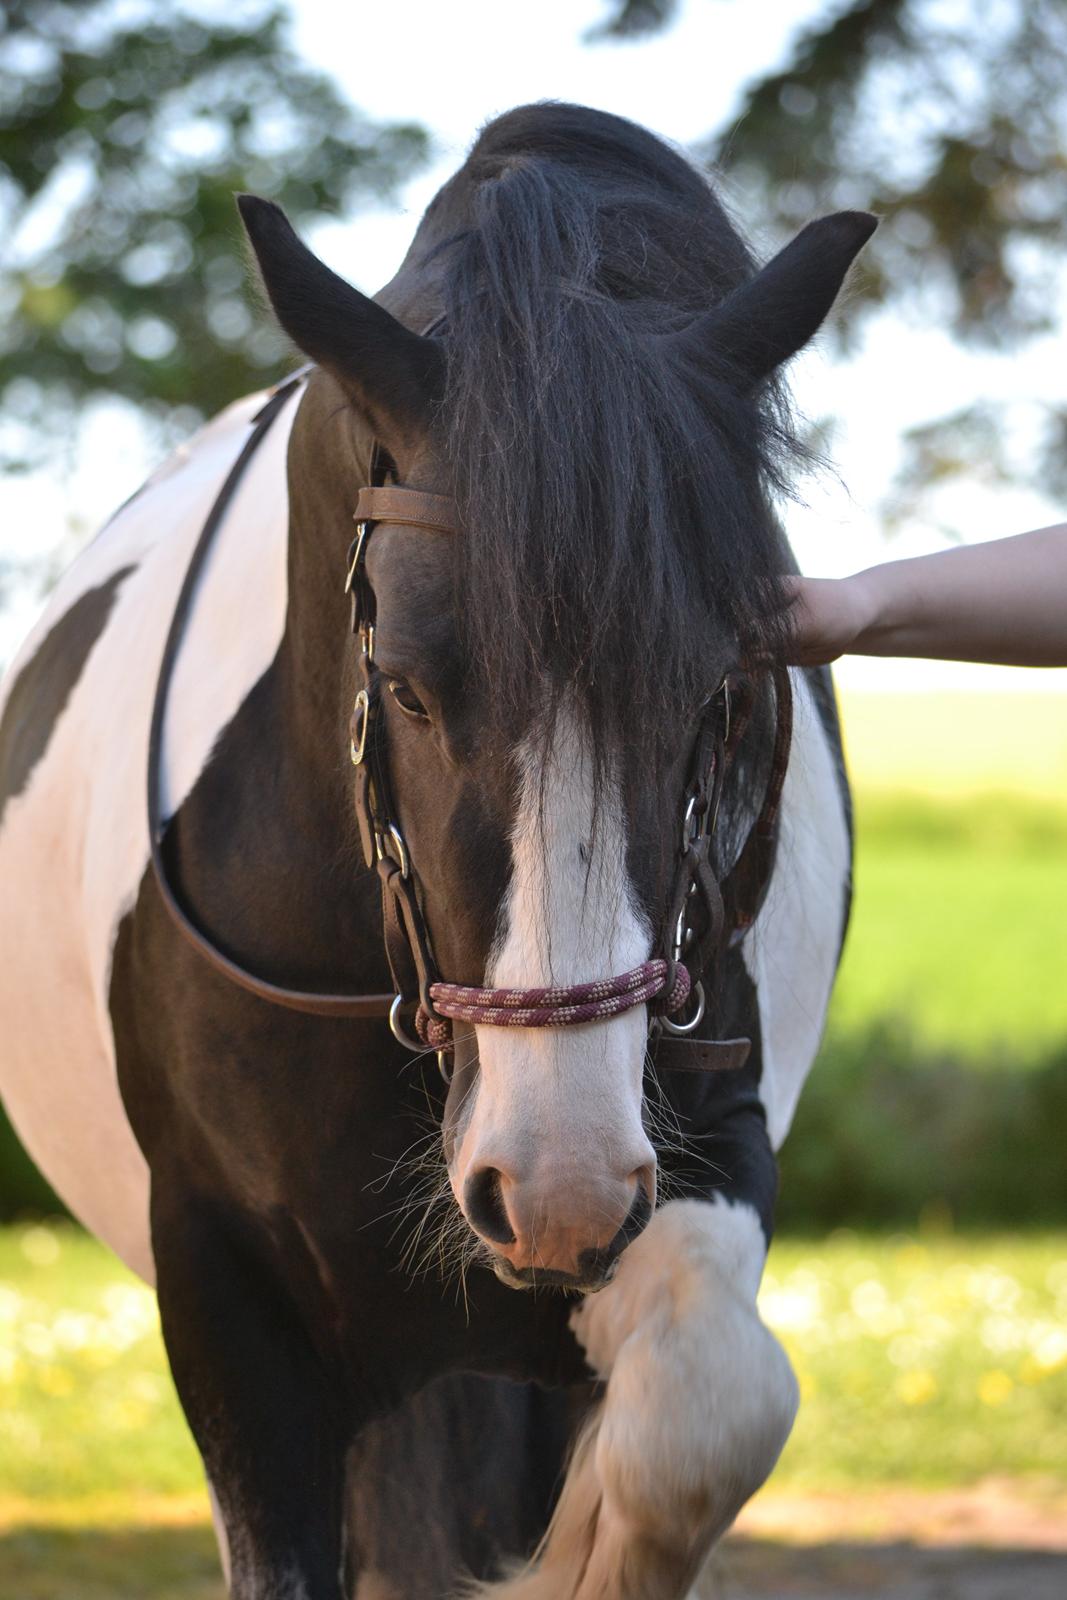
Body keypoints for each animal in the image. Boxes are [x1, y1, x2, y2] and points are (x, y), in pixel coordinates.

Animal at [0, 103, 870, 1600]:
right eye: (405, 685)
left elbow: (701, 1416)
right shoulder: (222, 1274)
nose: (555, 1179)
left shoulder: (692, 1164)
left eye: (719, 690)